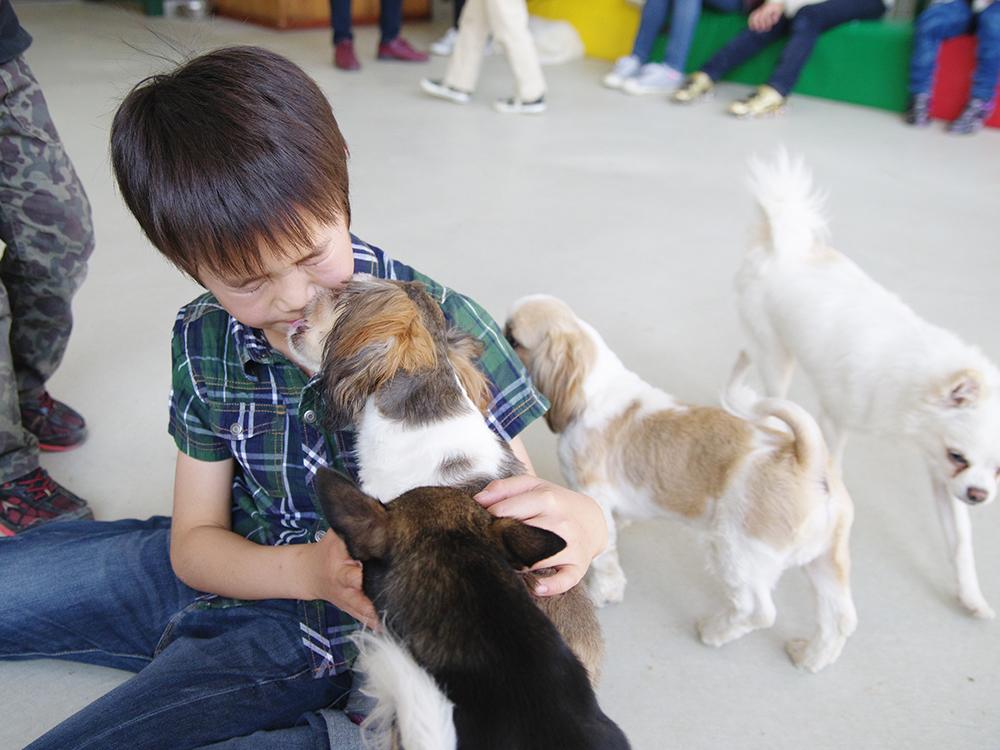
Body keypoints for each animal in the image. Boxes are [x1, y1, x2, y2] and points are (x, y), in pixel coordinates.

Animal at [736, 150, 1000, 620]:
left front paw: (972, 596)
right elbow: (833, 463)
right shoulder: (836, 420)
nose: (979, 495)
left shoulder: (941, 477)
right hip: (776, 357)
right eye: (959, 456)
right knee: (771, 388)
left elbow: (960, 542)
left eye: (999, 469)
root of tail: (783, 244)